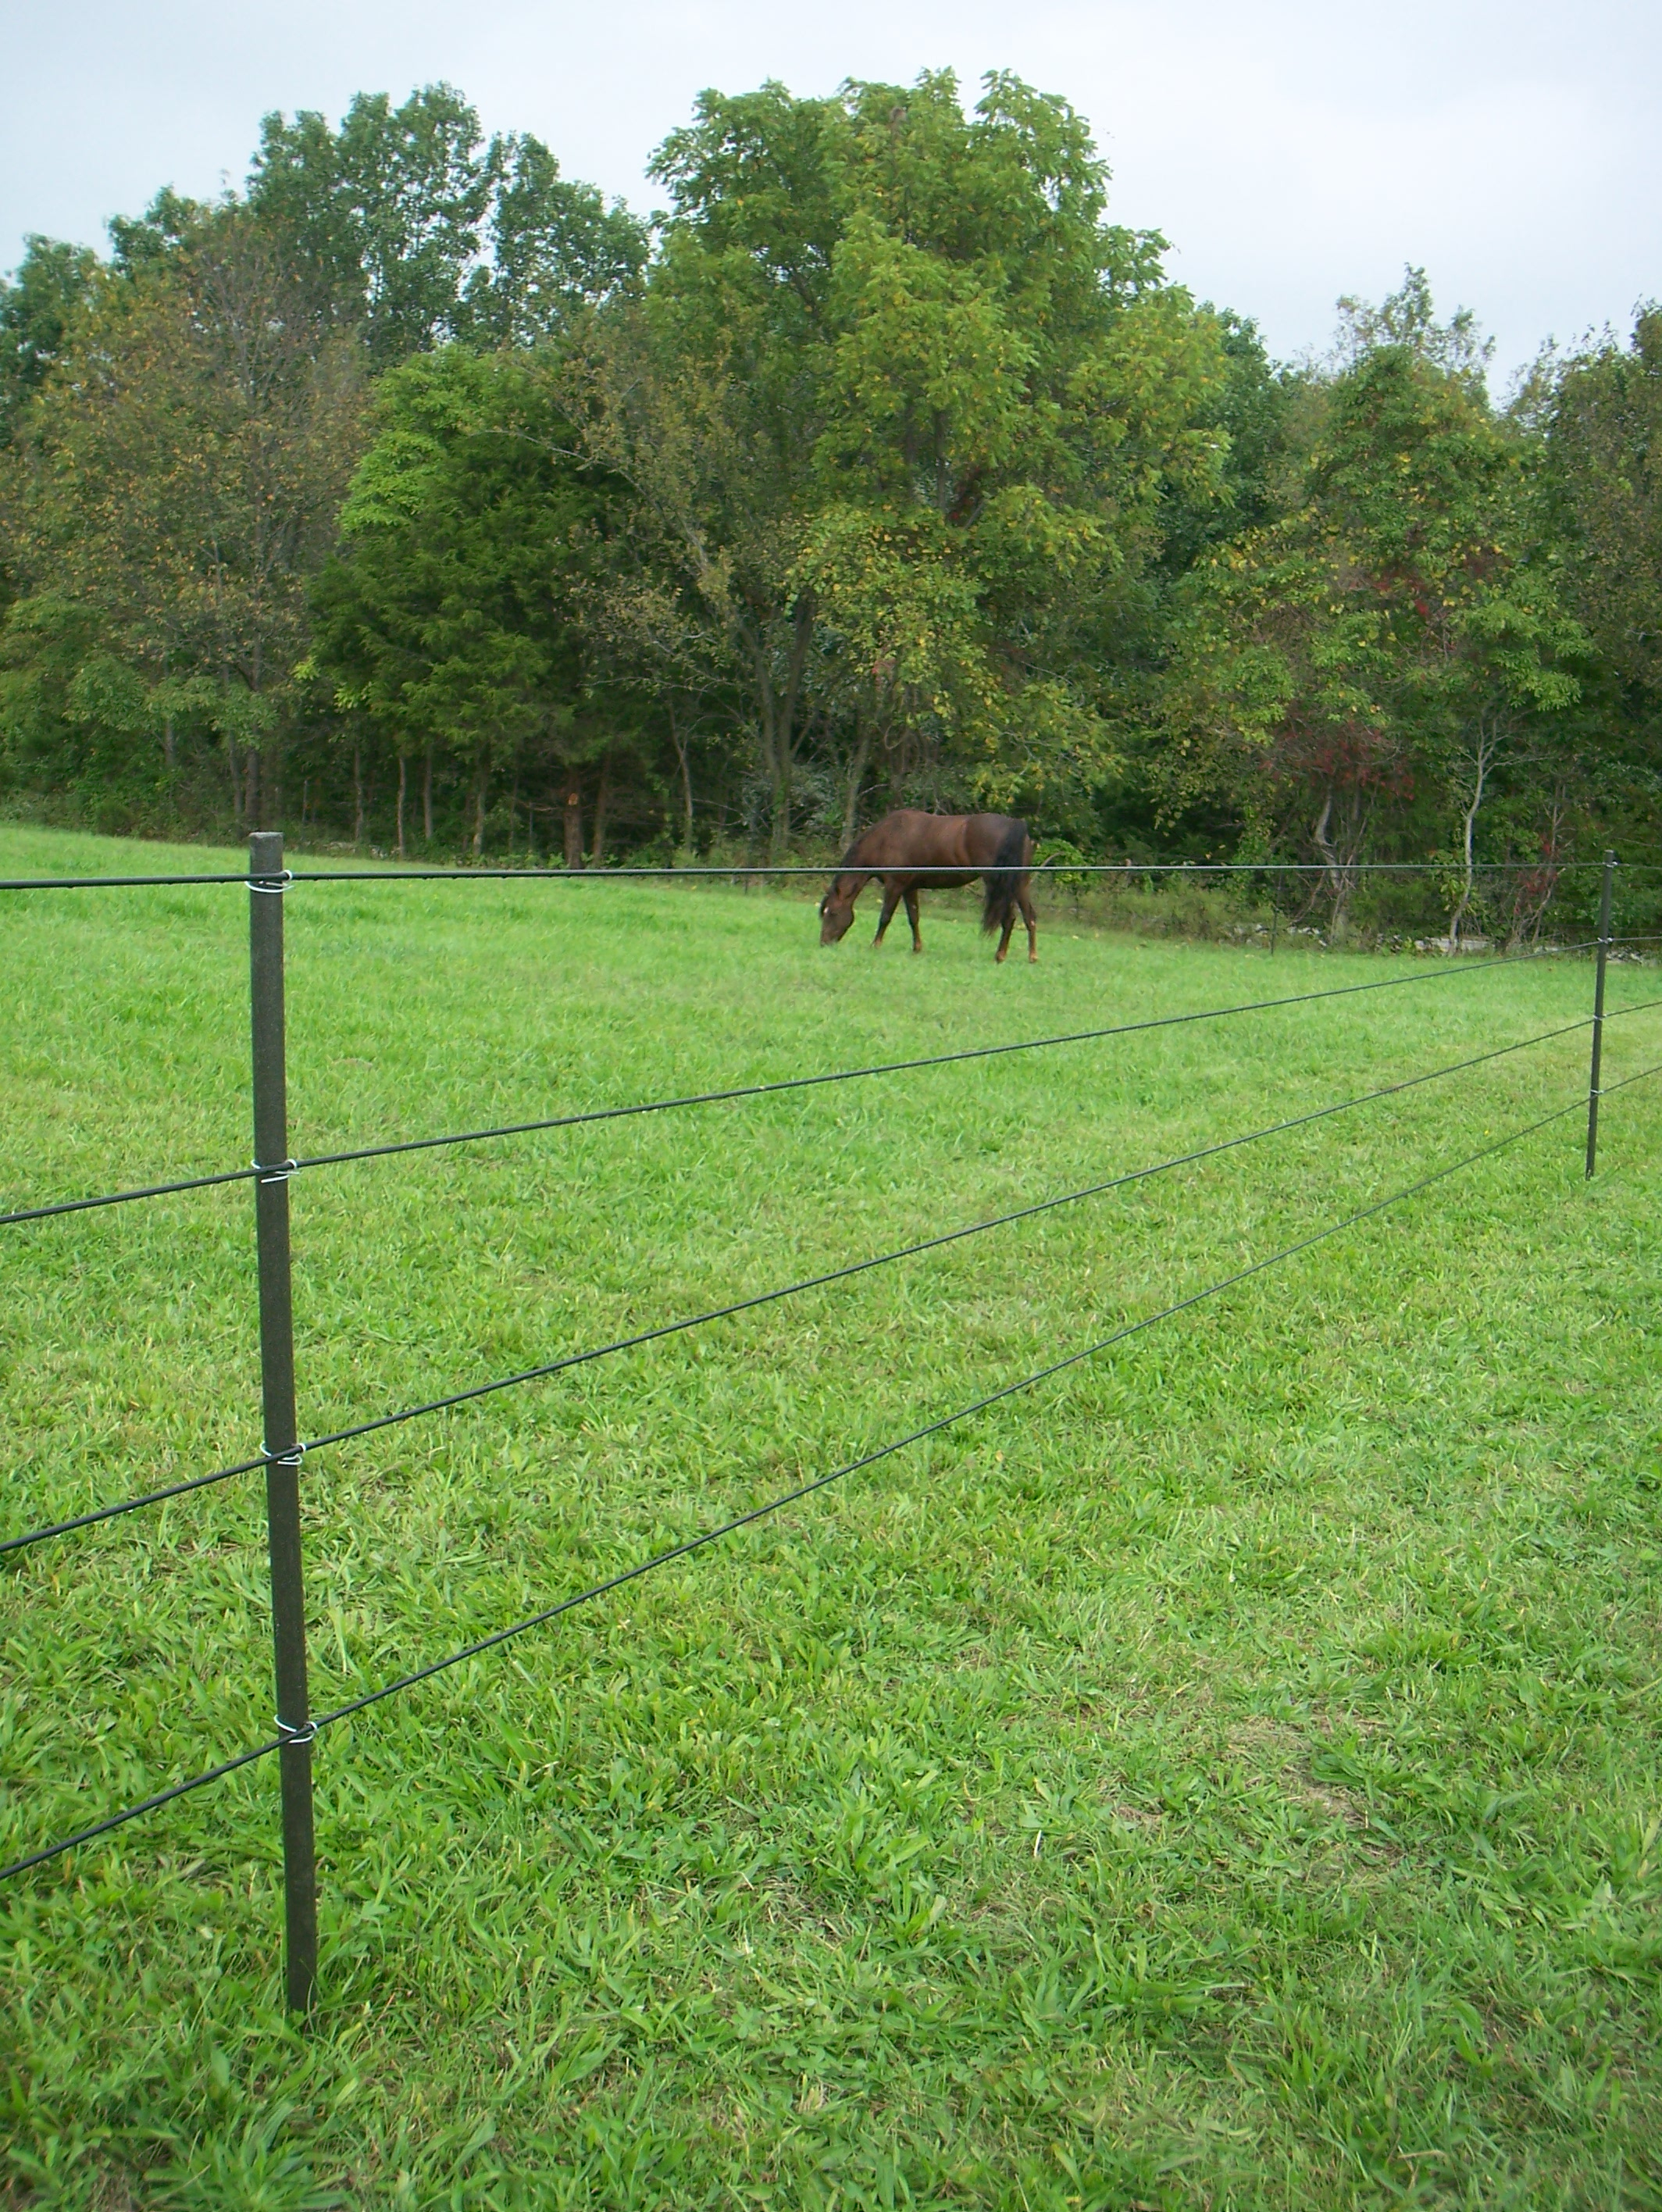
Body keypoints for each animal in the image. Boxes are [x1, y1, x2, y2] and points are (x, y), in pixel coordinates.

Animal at [823, 805, 1040, 960]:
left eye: (832, 913)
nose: (824, 943)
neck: (887, 837)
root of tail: (1013, 824)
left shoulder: (895, 886)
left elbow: (885, 916)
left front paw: (875, 945)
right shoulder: (909, 888)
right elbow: (914, 918)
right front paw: (917, 949)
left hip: (999, 884)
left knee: (1009, 919)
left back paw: (1000, 956)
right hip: (1020, 883)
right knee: (1029, 917)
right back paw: (1032, 956)